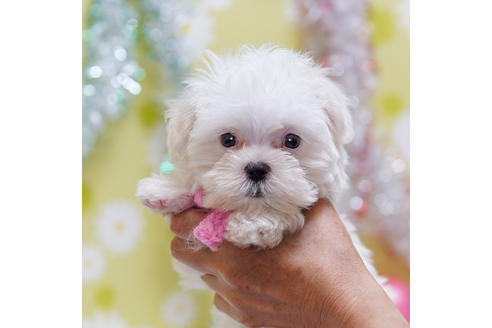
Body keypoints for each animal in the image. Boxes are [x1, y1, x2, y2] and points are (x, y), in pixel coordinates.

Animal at [135, 45, 384, 328]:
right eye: (228, 139)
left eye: (292, 140)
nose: (256, 168)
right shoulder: (201, 273)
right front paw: (165, 189)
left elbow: (284, 214)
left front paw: (253, 224)